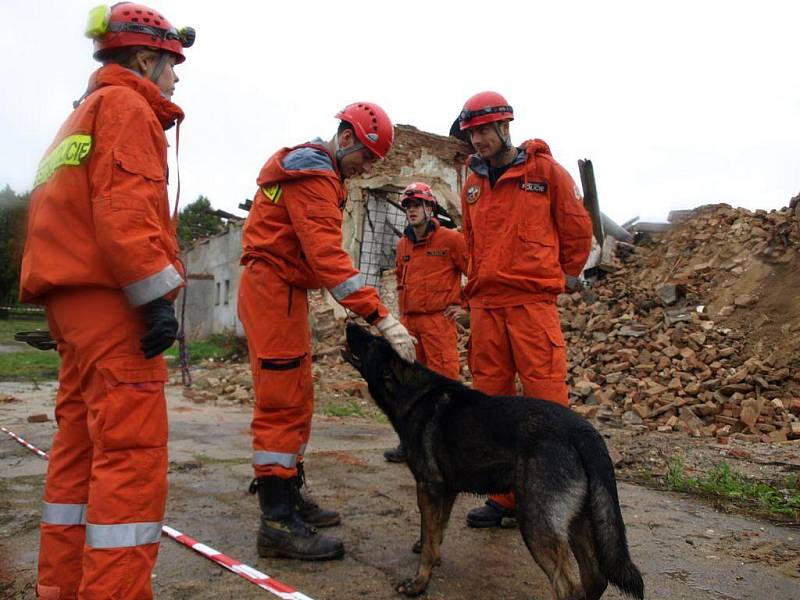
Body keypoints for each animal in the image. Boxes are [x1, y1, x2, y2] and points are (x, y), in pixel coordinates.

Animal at [344, 324, 644, 600]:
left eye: (372, 342)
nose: (349, 324)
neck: (412, 392)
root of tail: (584, 432)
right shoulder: (446, 491)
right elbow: (436, 532)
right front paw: (431, 555)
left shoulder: (429, 488)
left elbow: (430, 539)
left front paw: (419, 582)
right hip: (578, 520)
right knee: (595, 577)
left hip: (535, 519)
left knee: (568, 586)